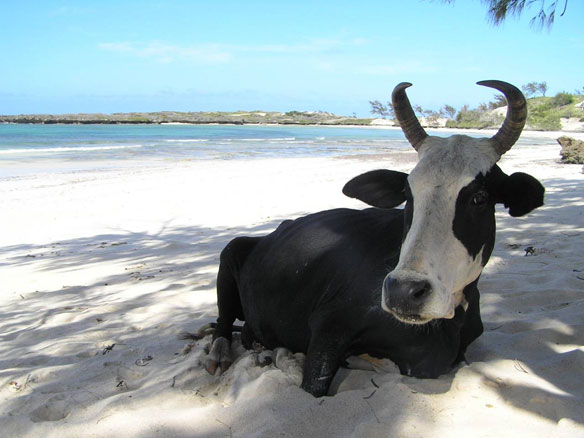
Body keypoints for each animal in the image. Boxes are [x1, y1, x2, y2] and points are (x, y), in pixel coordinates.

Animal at [201, 81, 544, 396]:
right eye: (408, 193)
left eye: (480, 198)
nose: (404, 291)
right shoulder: (330, 326)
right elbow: (315, 385)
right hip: (230, 251)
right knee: (223, 322)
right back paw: (222, 355)